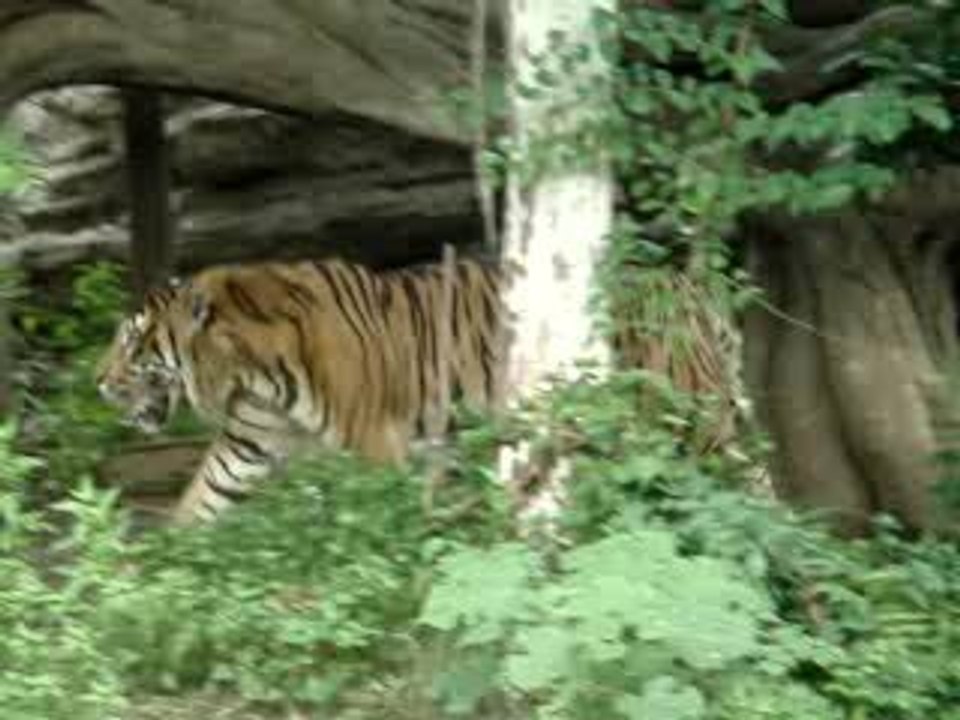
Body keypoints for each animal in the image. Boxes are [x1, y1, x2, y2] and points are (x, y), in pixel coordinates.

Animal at [95, 256, 504, 525]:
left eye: (130, 341)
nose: (97, 381)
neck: (250, 375)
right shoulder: (245, 445)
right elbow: (200, 498)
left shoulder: (375, 440)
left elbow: (379, 514)